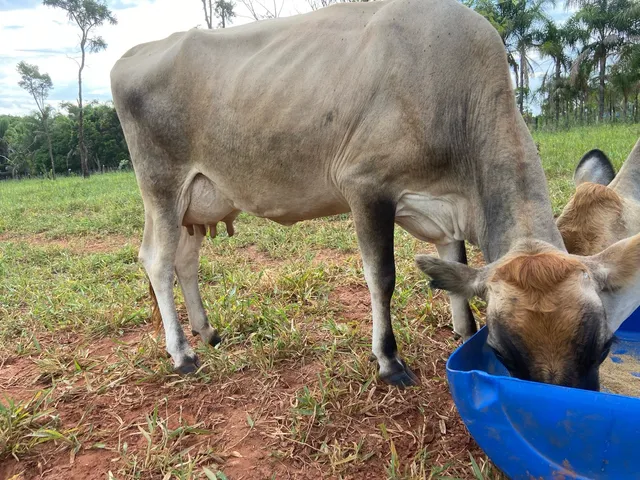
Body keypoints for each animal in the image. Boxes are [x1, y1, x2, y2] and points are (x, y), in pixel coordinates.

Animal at [110, 0, 640, 391]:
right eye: (501, 352)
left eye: (603, 346)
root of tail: (132, 54)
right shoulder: (365, 187)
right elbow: (381, 278)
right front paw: (389, 361)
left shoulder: (445, 209)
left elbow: (454, 265)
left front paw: (461, 329)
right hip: (162, 186)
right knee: (156, 260)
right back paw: (182, 353)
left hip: (199, 198)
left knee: (185, 261)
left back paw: (206, 331)